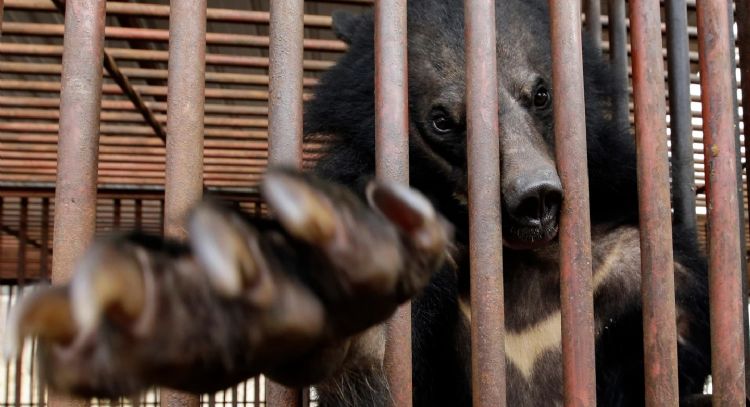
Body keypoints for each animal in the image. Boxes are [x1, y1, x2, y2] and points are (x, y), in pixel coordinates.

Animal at [4, 0, 710, 406]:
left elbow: (677, 333)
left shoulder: (630, 245)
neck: (510, 259)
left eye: (541, 94)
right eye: (442, 121)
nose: (535, 199)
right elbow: (366, 354)